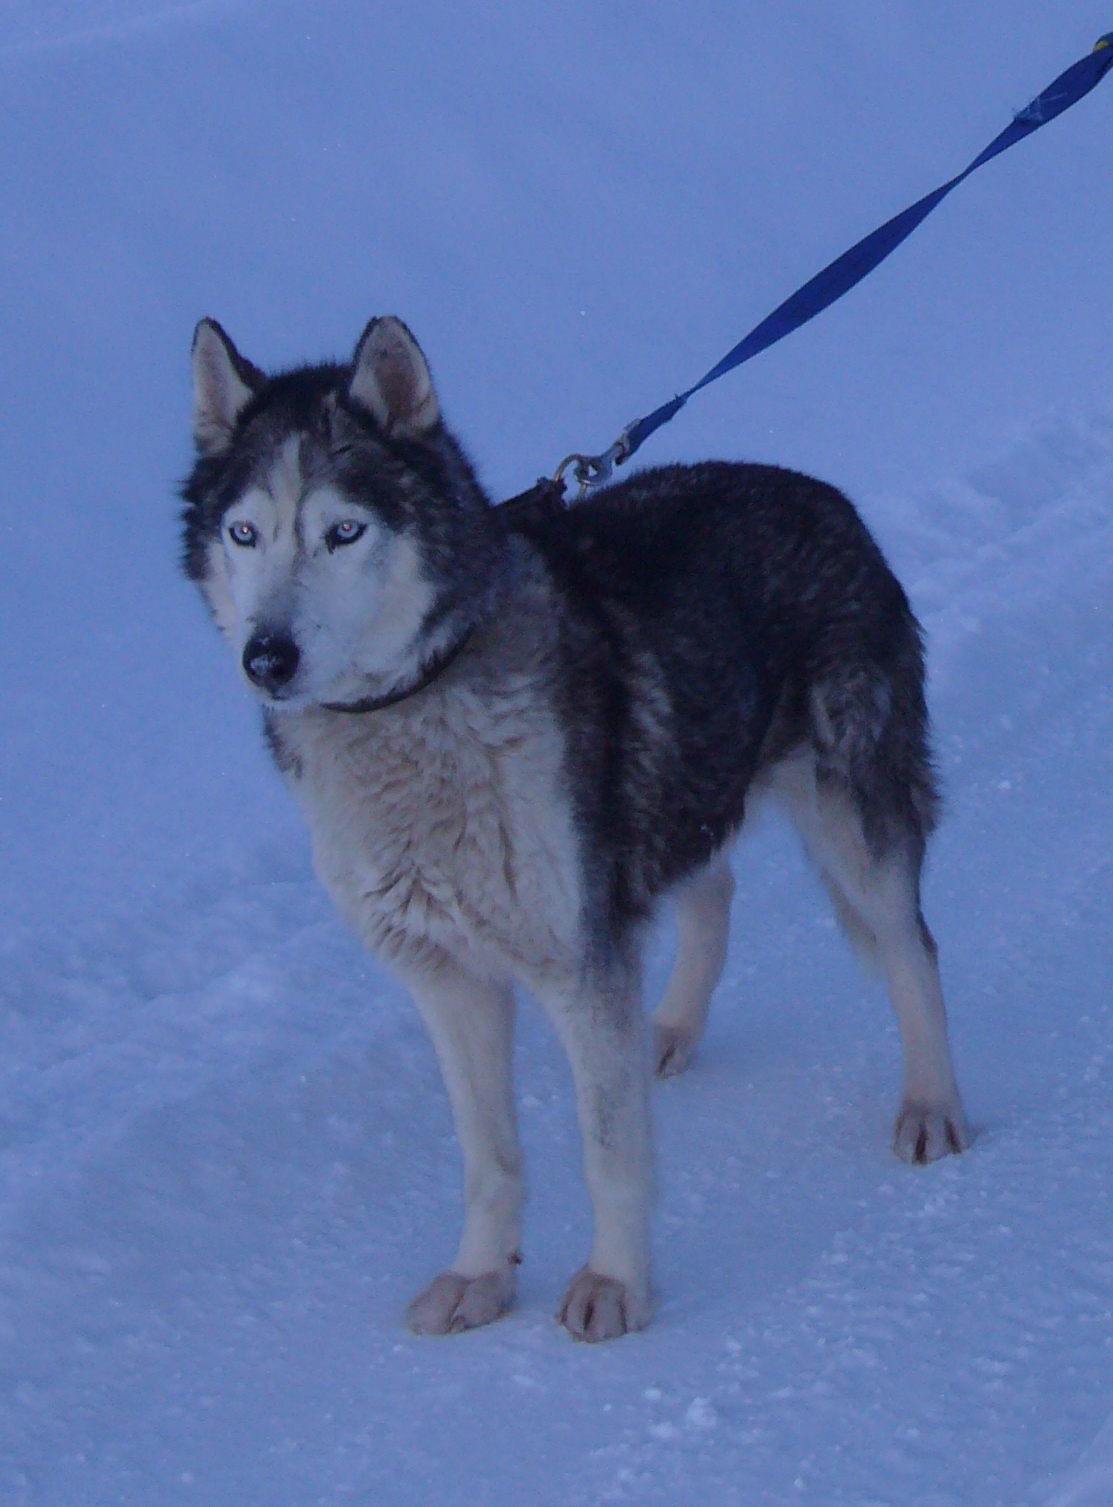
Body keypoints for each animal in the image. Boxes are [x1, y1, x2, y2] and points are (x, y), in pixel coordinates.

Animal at [181, 315, 970, 1342]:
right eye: (244, 533)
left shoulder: (577, 960)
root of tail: (818, 492)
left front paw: (615, 1282)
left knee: (909, 946)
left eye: (342, 532)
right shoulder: (447, 979)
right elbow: (489, 1158)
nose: (266, 657)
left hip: (854, 818)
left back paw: (931, 1102)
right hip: (679, 794)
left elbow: (609, 1150)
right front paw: (480, 1276)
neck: (415, 700)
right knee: (712, 887)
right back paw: (668, 1027)